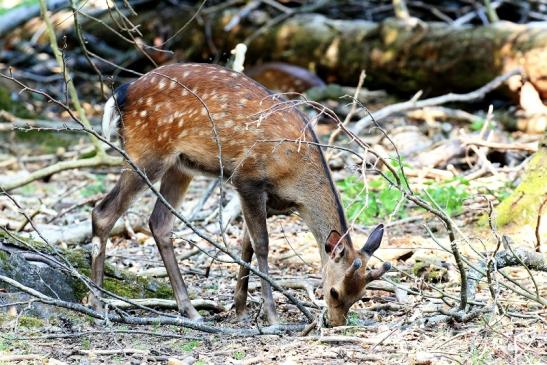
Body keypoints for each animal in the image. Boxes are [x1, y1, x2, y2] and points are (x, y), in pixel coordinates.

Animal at [93, 61, 394, 324]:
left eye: (360, 295)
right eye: (334, 291)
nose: (336, 322)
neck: (296, 181)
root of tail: (120, 93)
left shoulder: (268, 200)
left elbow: (246, 244)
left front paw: (239, 308)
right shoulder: (247, 179)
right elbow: (261, 244)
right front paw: (271, 316)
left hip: (179, 166)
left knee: (160, 223)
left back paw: (189, 309)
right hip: (146, 154)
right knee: (103, 212)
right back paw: (96, 301)